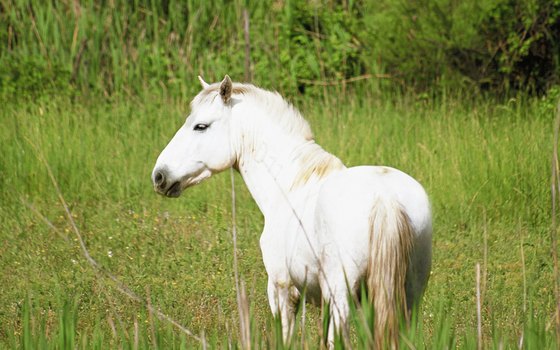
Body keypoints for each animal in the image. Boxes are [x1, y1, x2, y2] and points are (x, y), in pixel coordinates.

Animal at [152, 76, 434, 348]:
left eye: (201, 126)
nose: (159, 176)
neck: (290, 185)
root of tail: (385, 198)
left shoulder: (281, 289)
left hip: (342, 297)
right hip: (408, 298)